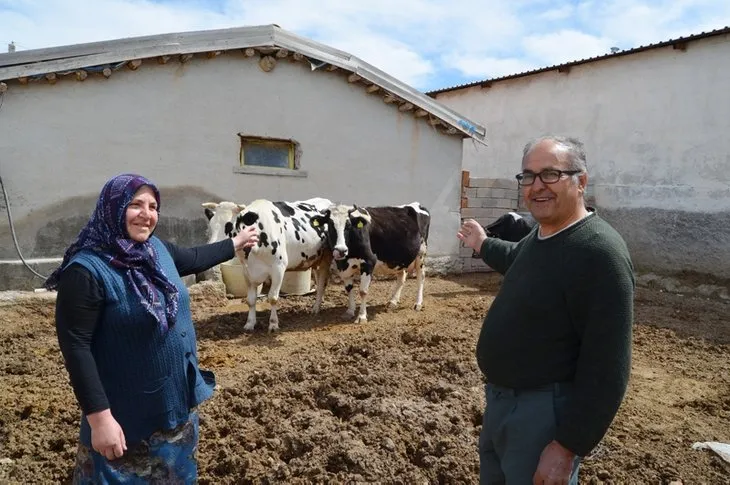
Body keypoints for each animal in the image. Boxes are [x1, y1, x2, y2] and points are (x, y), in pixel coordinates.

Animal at [202, 197, 332, 332]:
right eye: (211, 226)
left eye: (228, 226)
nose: (211, 247)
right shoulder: (247, 272)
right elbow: (251, 300)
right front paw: (250, 323)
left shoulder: (278, 268)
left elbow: (273, 298)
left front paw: (273, 324)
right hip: (316, 260)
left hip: (326, 258)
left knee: (321, 284)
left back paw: (316, 308)